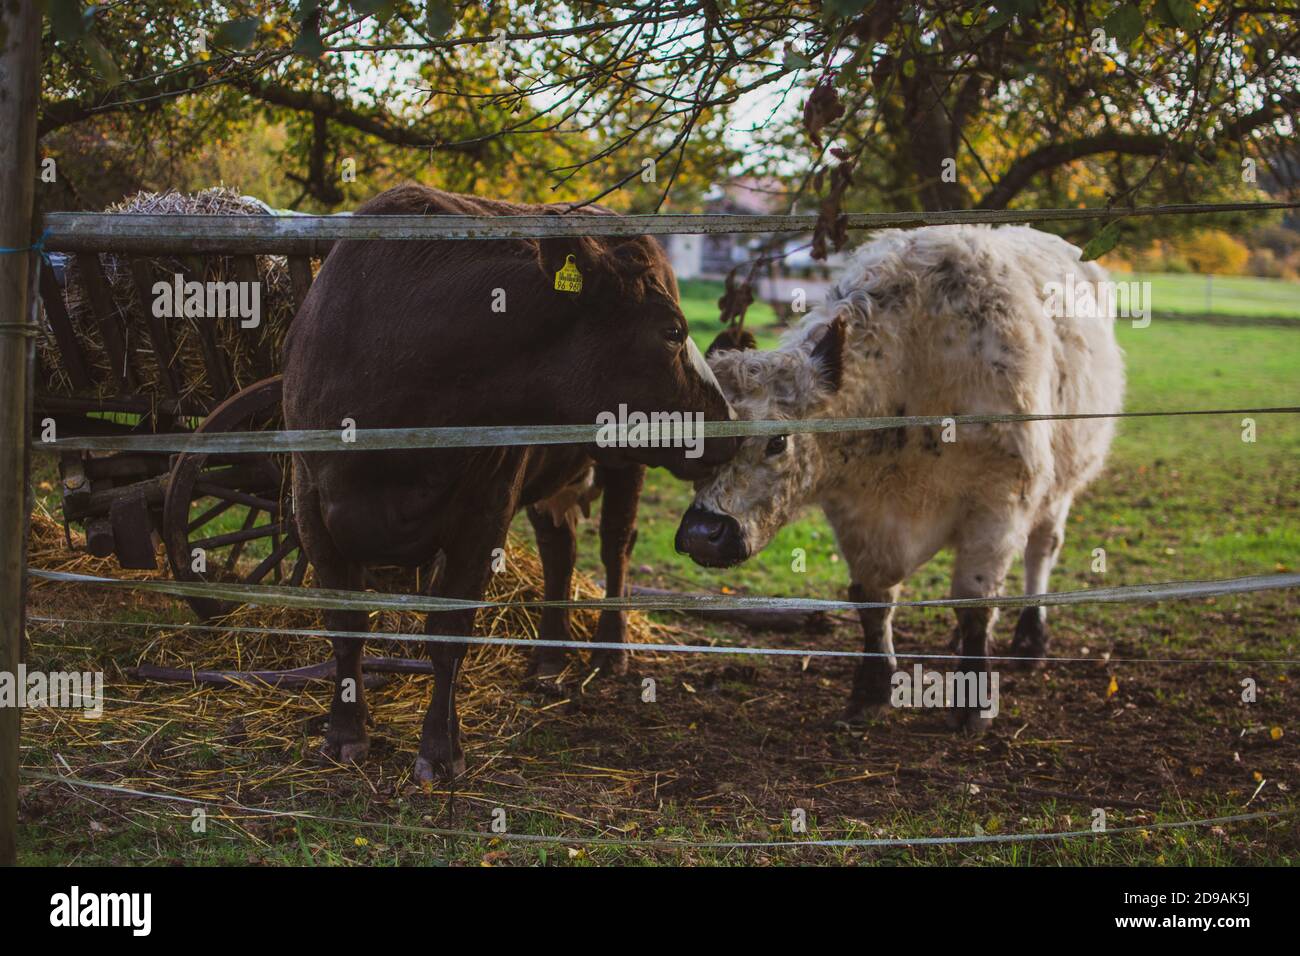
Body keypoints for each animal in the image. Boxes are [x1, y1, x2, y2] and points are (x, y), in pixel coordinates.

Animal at [283, 184, 738, 782]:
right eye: (674, 332)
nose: (730, 423)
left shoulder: (485, 508)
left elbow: (449, 635)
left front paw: (440, 750)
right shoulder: (310, 501)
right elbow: (345, 624)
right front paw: (344, 733)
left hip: (625, 463)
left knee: (616, 545)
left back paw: (609, 650)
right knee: (560, 549)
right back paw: (548, 656)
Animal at [676, 225, 1124, 731]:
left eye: (777, 441)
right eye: (698, 444)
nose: (702, 533)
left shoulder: (1001, 501)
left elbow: (975, 600)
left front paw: (976, 704)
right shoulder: (859, 515)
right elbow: (873, 599)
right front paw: (871, 689)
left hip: (1062, 484)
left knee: (1042, 550)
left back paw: (1031, 638)